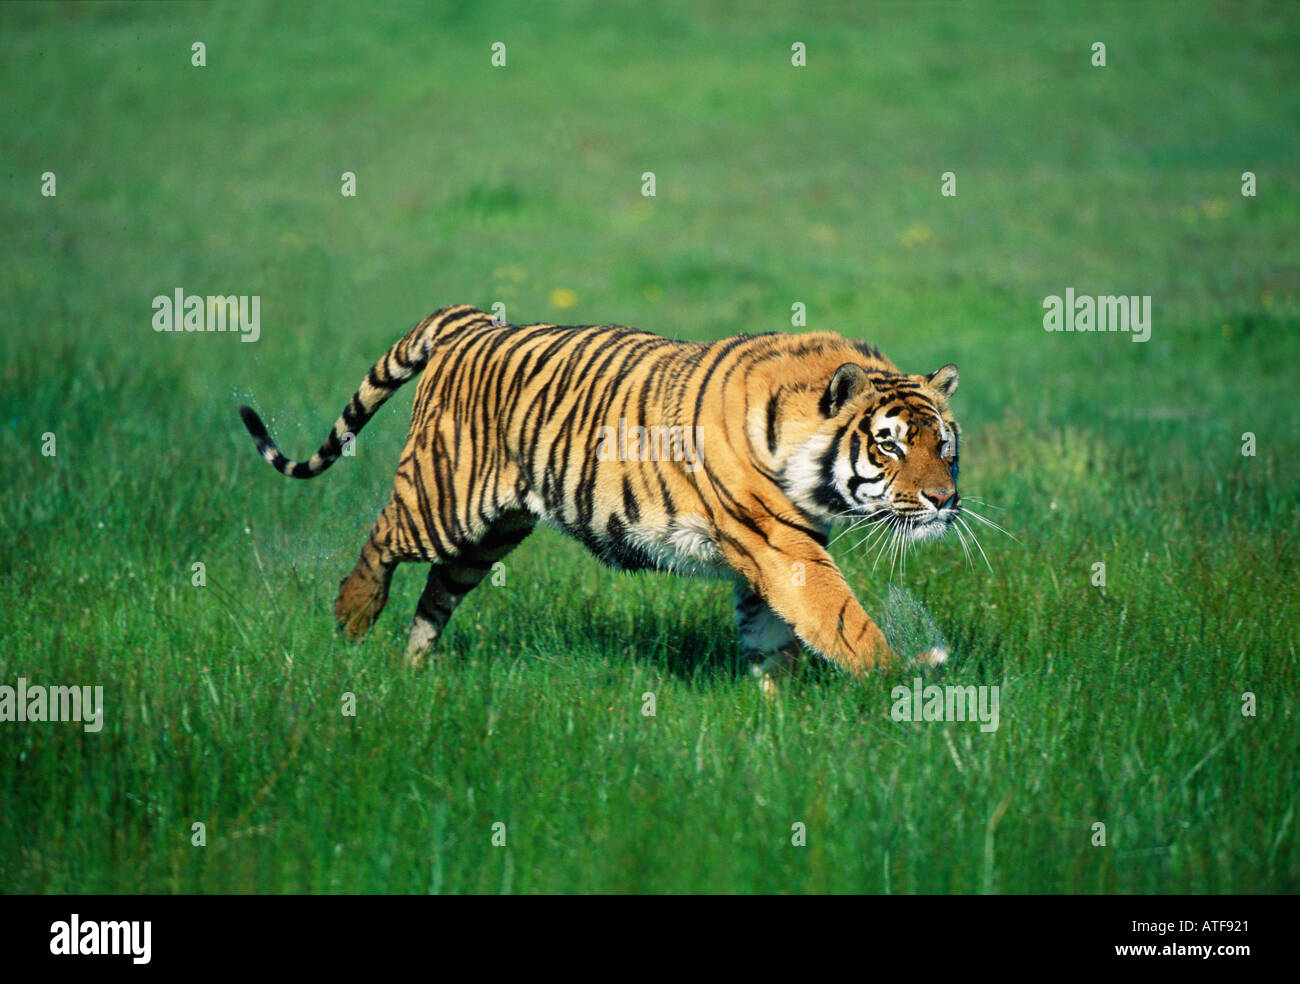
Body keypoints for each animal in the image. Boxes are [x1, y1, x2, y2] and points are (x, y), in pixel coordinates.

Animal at [238, 304, 961, 688]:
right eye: (890, 444)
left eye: (945, 444)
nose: (945, 500)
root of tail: (469, 322)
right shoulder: (783, 546)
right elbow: (842, 619)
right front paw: (903, 677)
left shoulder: (776, 554)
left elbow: (771, 637)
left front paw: (776, 710)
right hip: (444, 500)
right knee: (384, 538)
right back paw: (353, 615)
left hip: (496, 529)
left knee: (439, 590)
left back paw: (415, 666)